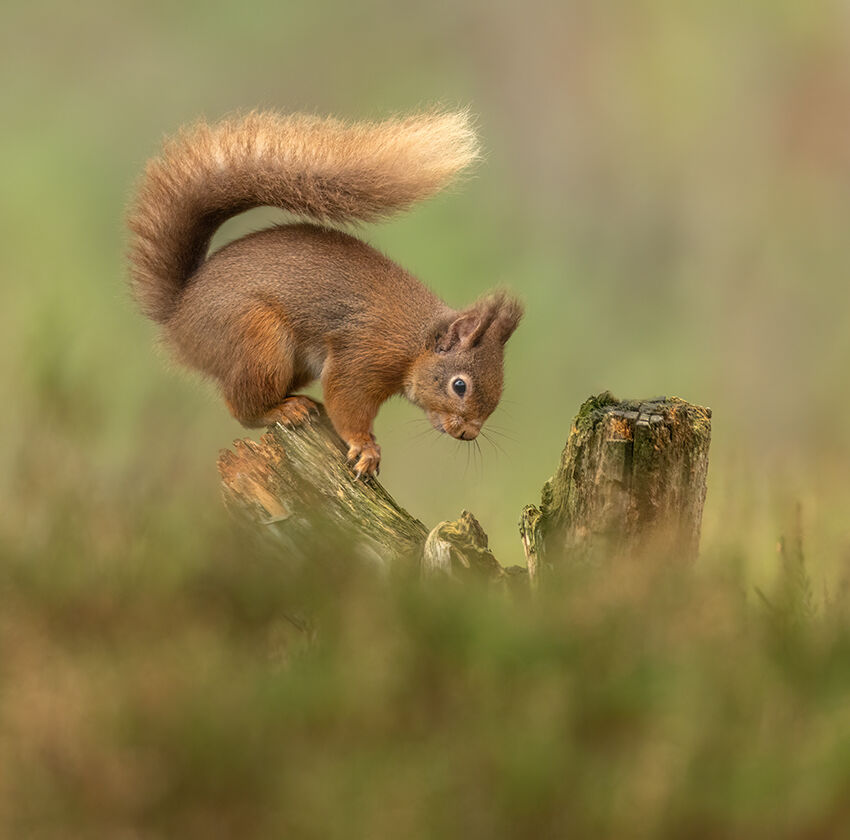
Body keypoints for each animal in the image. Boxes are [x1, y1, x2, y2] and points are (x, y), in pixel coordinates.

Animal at [127, 110, 522, 477]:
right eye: (460, 386)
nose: (469, 434)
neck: (416, 341)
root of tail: (179, 313)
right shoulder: (364, 354)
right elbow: (345, 400)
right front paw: (365, 447)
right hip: (257, 340)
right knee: (241, 408)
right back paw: (283, 409)